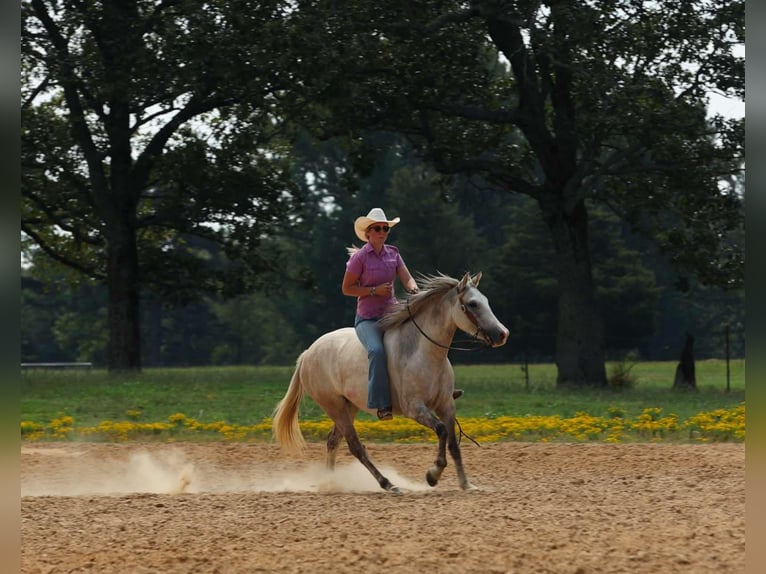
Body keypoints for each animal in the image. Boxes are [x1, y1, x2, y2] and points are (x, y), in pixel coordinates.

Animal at [272, 271, 509, 493]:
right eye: (472, 303)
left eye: (485, 300)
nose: (502, 334)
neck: (423, 352)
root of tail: (308, 353)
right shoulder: (415, 409)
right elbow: (441, 431)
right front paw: (433, 475)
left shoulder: (446, 405)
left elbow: (453, 444)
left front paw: (466, 484)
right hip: (335, 407)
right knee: (355, 446)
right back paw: (388, 484)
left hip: (348, 407)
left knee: (333, 441)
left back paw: (331, 484)